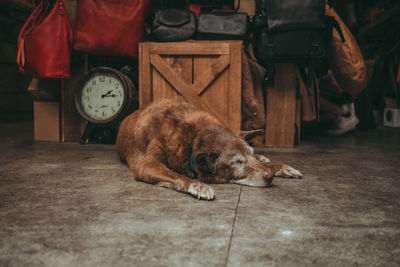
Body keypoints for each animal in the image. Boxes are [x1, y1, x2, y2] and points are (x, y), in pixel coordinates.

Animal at [115, 101, 300, 201]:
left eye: (250, 154)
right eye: (237, 162)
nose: (270, 176)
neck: (195, 136)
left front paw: (280, 167)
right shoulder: (147, 165)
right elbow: (177, 176)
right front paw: (198, 185)